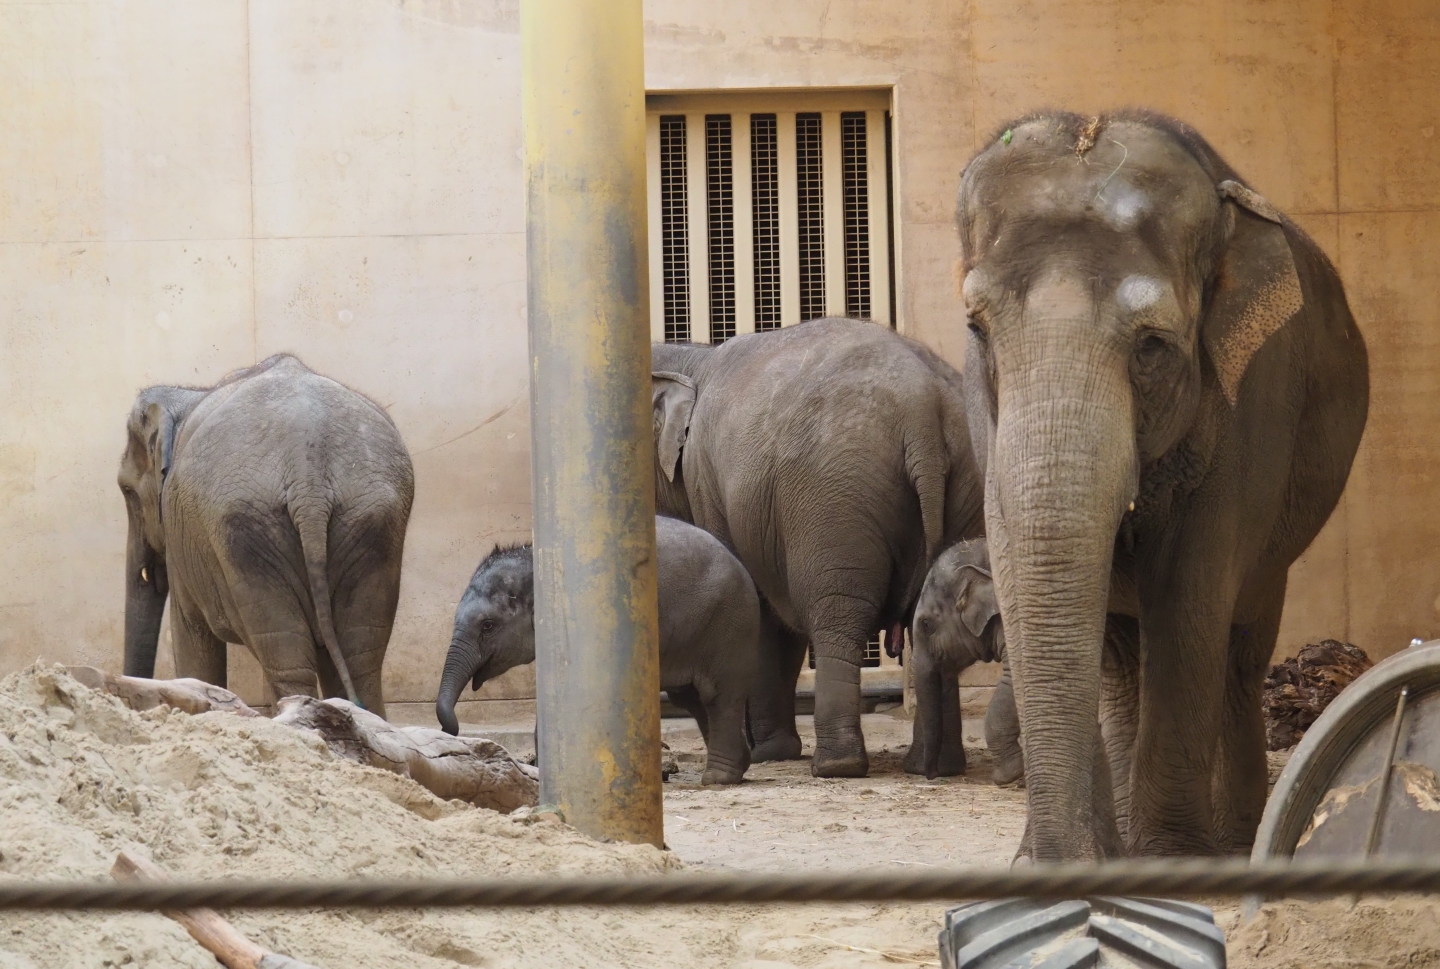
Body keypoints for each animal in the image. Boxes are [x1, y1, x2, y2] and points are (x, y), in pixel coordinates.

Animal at [117, 354, 414, 716]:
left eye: (127, 491)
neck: (188, 393)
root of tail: (308, 476)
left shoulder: (181, 542)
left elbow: (190, 631)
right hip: (370, 522)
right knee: (358, 661)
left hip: (248, 533)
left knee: (288, 661)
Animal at [435, 515, 761, 785]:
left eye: (488, 626)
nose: (453, 730)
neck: (535, 557)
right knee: (693, 699)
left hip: (728, 626)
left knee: (717, 696)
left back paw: (718, 778)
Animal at [651, 317, 985, 777]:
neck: (691, 357)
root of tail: (925, 411)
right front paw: (774, 750)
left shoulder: (708, 485)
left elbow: (763, 612)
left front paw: (768, 753)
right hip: (967, 478)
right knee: (933, 618)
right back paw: (934, 766)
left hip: (836, 498)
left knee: (837, 616)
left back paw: (835, 766)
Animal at [956, 111, 1368, 860]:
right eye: (978, 328)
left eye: (1151, 344)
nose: (1049, 858)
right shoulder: (984, 414)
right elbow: (1019, 560)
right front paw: (1086, 858)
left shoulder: (1252, 404)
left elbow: (1189, 595)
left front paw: (1171, 855)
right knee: (1123, 656)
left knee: (1240, 643)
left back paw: (1232, 837)